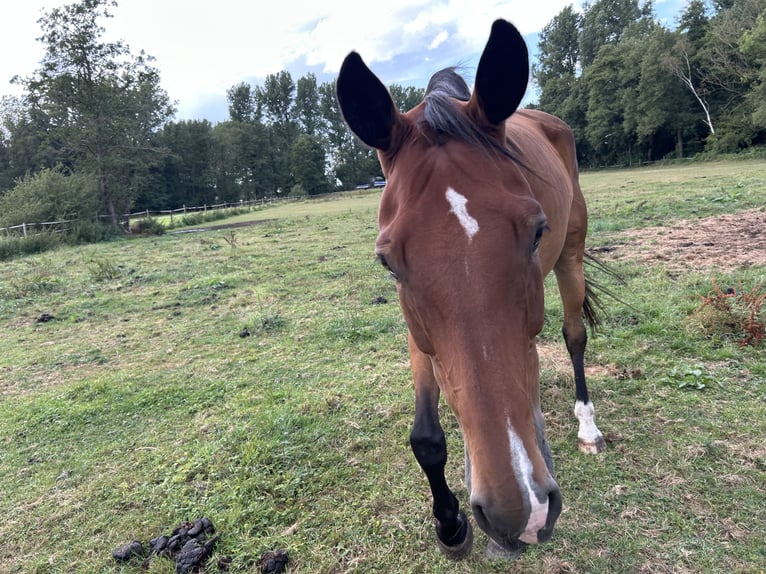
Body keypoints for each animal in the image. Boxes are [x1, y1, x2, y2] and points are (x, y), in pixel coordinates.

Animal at [336, 18, 606, 560]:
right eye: (387, 263)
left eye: (537, 231)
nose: (521, 511)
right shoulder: (420, 335)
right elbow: (426, 437)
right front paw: (449, 524)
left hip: (571, 258)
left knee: (573, 337)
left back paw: (587, 427)